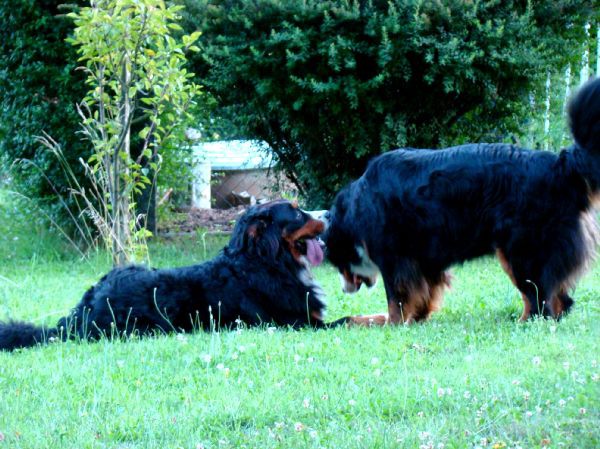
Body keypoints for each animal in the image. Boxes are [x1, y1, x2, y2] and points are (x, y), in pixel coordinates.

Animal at [0, 200, 336, 350]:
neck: (265, 261)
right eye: (297, 213)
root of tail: (82, 312)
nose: (330, 213)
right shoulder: (297, 323)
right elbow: (346, 320)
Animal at [326, 76, 596, 322]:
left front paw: (392, 322)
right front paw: (413, 317)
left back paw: (526, 320)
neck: (357, 206)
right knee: (559, 297)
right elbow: (425, 290)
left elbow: (397, 295)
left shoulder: (395, 254)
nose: (344, 289)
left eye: (338, 262)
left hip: (522, 247)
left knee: (537, 294)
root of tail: (559, 166)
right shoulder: (425, 256)